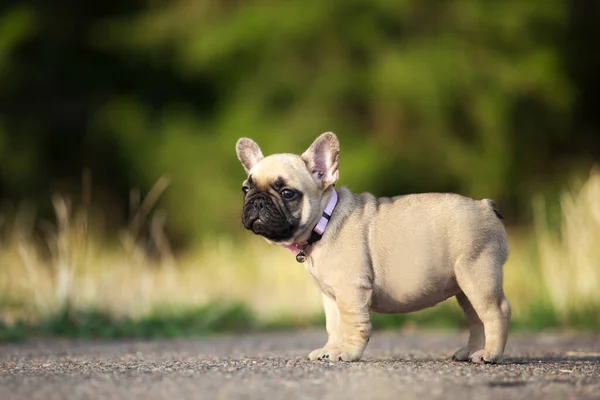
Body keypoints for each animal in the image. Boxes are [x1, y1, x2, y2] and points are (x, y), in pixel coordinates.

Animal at [234, 133, 510, 364]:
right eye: (246, 189)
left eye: (287, 193)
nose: (257, 201)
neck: (325, 222)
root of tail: (485, 206)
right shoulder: (331, 297)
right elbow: (335, 326)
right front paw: (330, 350)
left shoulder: (351, 289)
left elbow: (353, 324)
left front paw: (346, 353)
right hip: (463, 285)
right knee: (476, 318)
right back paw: (472, 351)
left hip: (477, 274)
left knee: (496, 311)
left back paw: (489, 354)